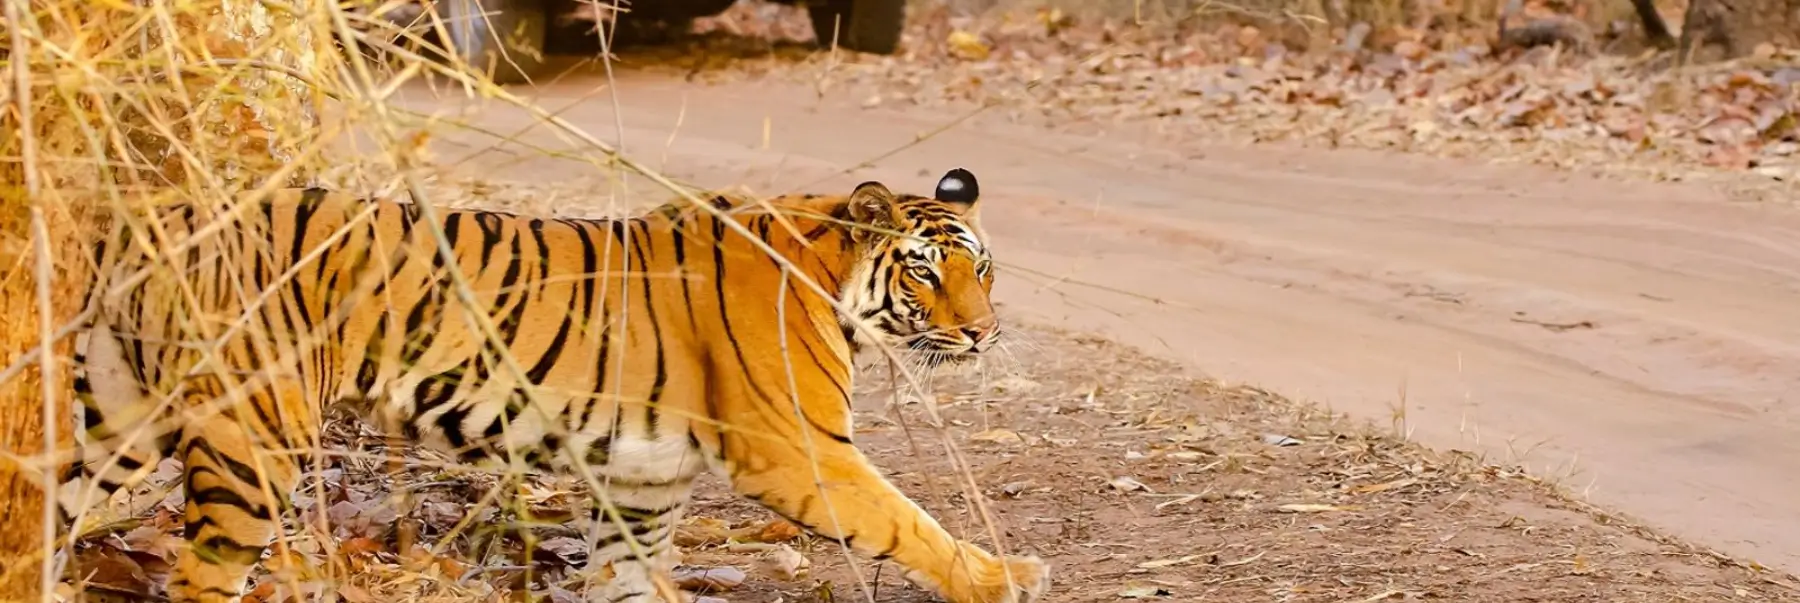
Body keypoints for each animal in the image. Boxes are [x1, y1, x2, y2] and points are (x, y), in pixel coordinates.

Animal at [59, 168, 1049, 603]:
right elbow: (910, 521)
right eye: (926, 272)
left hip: (114, 419)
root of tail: (153, 218)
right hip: (249, 440)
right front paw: (1002, 576)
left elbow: (630, 579)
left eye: (983, 270)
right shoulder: (800, 452)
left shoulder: (643, 480)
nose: (982, 331)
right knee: (202, 574)